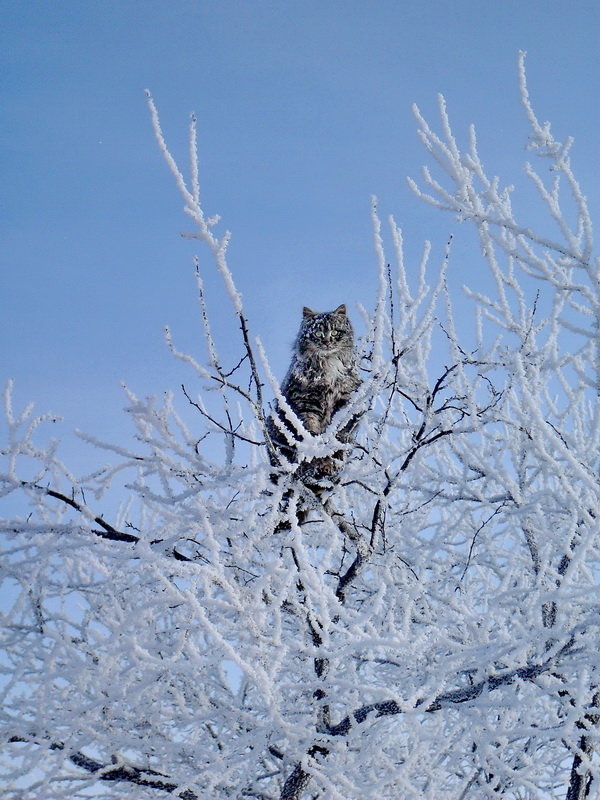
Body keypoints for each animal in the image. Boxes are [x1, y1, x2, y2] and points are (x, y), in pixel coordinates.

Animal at [270, 304, 364, 482]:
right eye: (318, 333)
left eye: (334, 332)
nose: (327, 342)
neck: (329, 364)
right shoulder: (307, 402)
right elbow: (310, 430)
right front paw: (318, 456)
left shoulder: (345, 400)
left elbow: (339, 430)